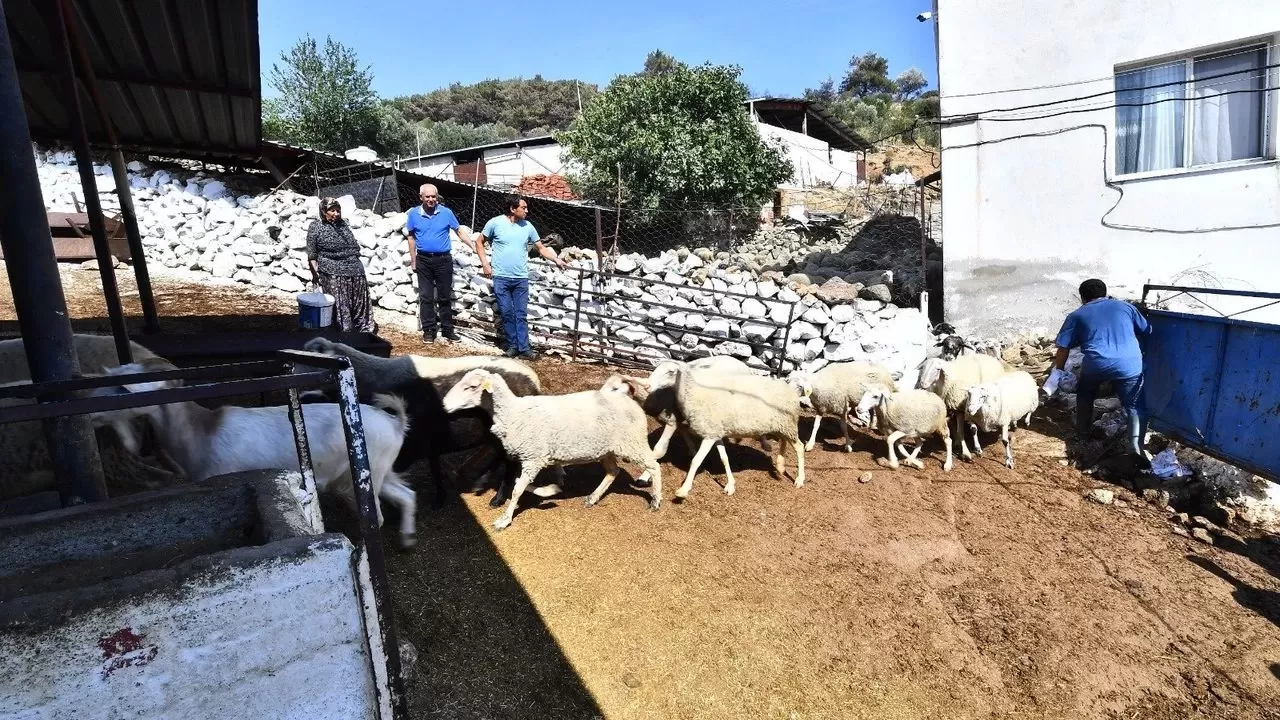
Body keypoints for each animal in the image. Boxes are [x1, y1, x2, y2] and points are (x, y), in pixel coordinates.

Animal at [101, 356, 419, 545]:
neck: (202, 432)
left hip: (367, 474)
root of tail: (395, 423)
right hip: (381, 469)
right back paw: (407, 539)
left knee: (378, 514)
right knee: (406, 494)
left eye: (125, 388)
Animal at [440, 368, 660, 527]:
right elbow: (520, 483)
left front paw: (504, 519)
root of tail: (628, 399)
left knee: (654, 466)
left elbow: (517, 490)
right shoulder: (529, 458)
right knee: (613, 471)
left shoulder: (533, 458)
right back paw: (592, 498)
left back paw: (656, 502)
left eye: (471, 386)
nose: (443, 405)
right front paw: (551, 489)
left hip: (632, 443)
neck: (513, 412)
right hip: (607, 448)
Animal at [650, 361, 798, 497]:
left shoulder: (709, 435)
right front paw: (730, 485)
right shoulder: (716, 432)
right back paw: (780, 465)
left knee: (799, 448)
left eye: (670, 371)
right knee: (785, 441)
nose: (648, 385)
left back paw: (799, 479)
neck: (696, 393)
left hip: (788, 424)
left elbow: (696, 461)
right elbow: (724, 458)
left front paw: (684, 489)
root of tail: (789, 388)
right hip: (783, 425)